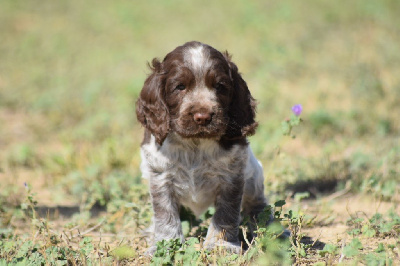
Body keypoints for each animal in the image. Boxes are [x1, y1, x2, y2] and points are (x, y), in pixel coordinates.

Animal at [136, 41, 268, 254]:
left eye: (220, 86)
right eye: (180, 87)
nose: (203, 117)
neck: (194, 144)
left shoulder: (232, 177)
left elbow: (225, 214)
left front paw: (220, 245)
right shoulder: (160, 177)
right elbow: (165, 215)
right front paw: (166, 245)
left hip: (254, 176)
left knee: (257, 204)